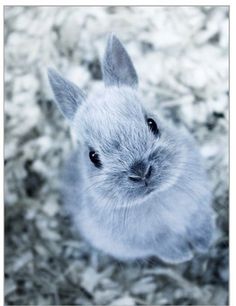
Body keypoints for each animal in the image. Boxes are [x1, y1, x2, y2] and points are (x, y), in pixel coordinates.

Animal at [47, 32, 215, 262]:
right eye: (93, 156)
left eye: (152, 123)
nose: (141, 172)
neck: (155, 196)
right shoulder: (154, 240)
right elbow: (167, 246)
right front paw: (184, 256)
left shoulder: (198, 209)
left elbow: (199, 226)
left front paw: (206, 243)